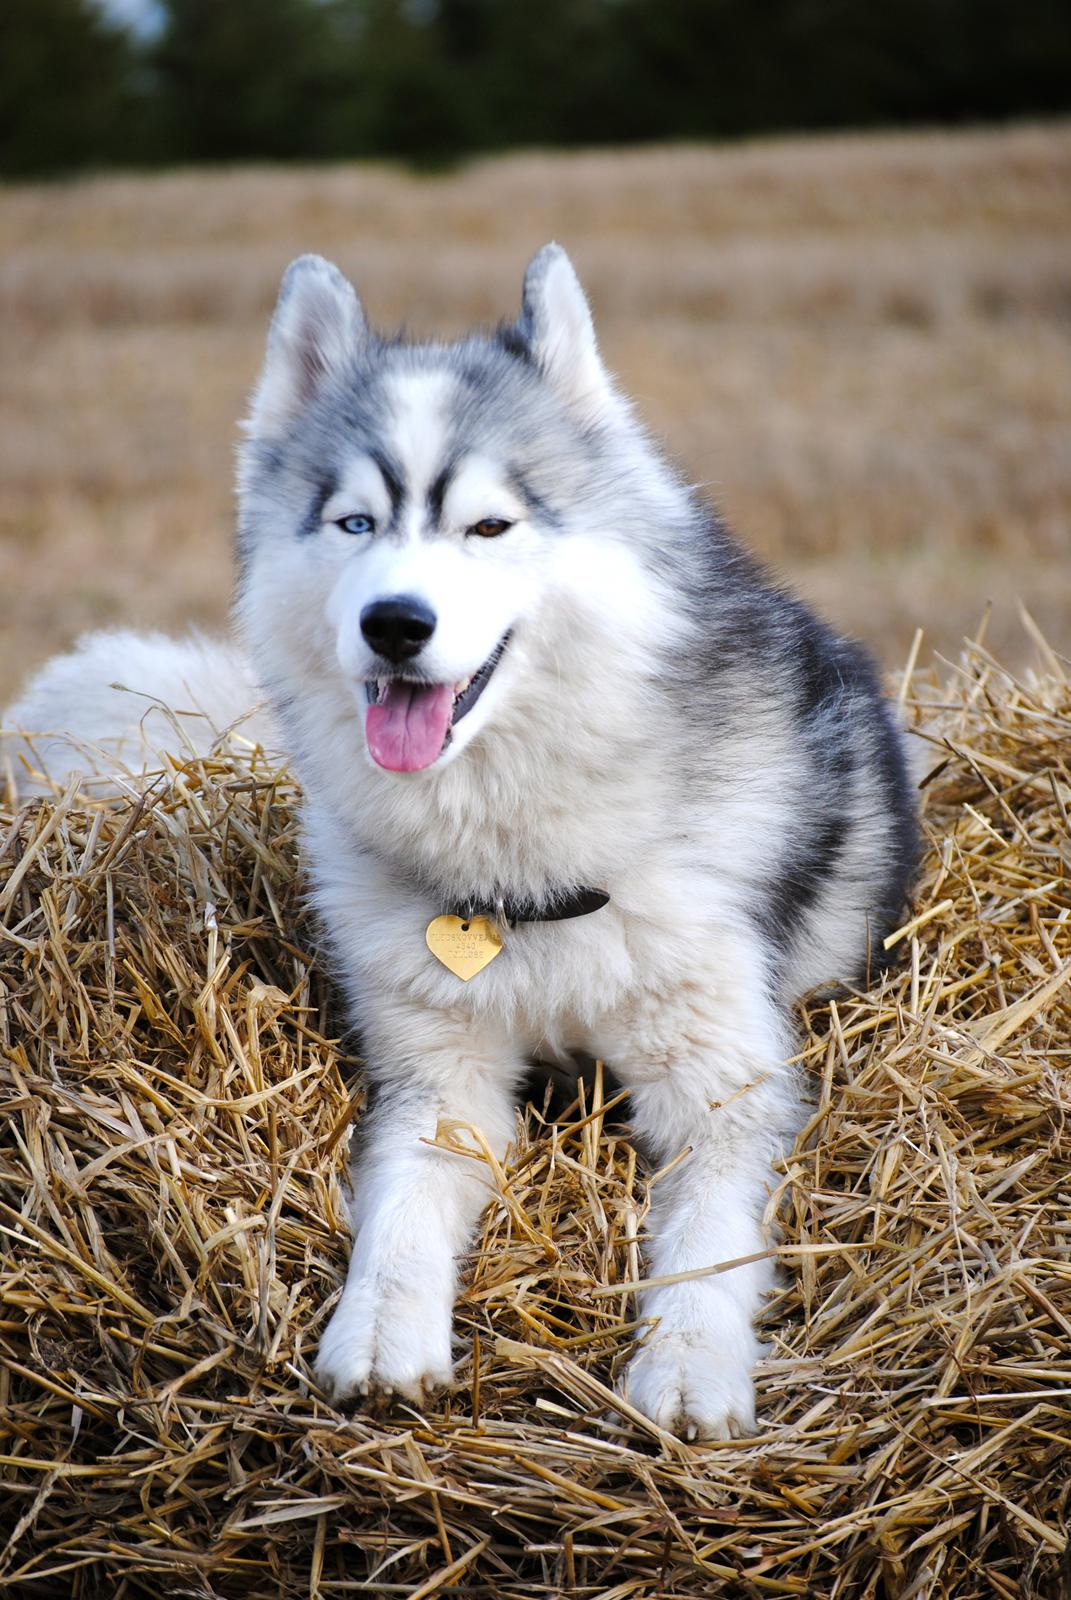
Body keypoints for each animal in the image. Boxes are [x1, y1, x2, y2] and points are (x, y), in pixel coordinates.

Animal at [4, 246, 915, 1440]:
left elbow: (708, 1243)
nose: (394, 623)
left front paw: (686, 1367)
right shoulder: (439, 1080)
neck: (514, 861)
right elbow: (400, 1216)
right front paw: (380, 1338)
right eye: (354, 524)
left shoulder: (724, 1089)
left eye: (489, 527)